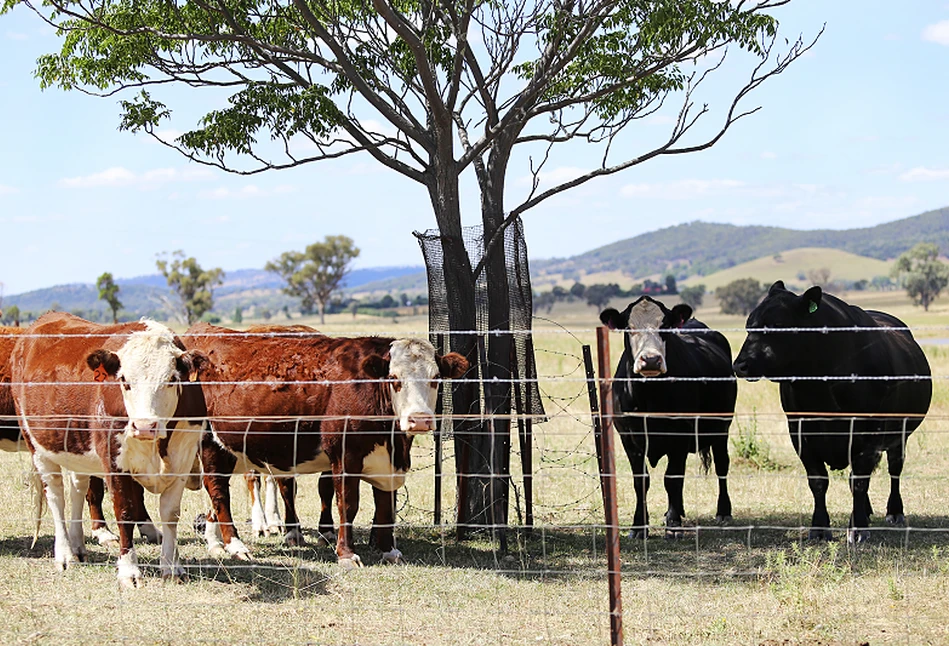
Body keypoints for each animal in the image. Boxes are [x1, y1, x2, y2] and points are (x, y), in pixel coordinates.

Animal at [12, 312, 207, 588]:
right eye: (124, 380)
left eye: (171, 379)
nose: (144, 426)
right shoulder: (115, 463)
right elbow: (125, 510)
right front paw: (129, 570)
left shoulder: (183, 458)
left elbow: (170, 513)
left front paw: (172, 567)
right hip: (37, 447)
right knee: (56, 496)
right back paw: (65, 554)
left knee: (78, 488)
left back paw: (78, 546)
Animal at [184, 324, 466, 568]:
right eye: (393, 378)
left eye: (436, 378)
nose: (420, 419)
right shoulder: (345, 455)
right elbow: (348, 504)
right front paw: (346, 554)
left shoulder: (387, 461)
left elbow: (385, 504)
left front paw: (389, 550)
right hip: (210, 443)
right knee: (219, 492)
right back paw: (236, 545)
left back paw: (216, 543)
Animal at [600, 296, 740, 540]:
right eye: (629, 327)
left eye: (664, 326)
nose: (650, 360)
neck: (649, 396)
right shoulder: (629, 438)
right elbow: (641, 481)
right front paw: (639, 525)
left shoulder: (680, 435)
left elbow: (672, 479)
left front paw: (673, 525)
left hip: (721, 427)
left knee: (722, 465)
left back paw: (723, 511)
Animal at [728, 280, 928, 544]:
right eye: (749, 325)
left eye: (778, 325)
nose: (740, 365)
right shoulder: (800, 431)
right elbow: (818, 481)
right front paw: (820, 528)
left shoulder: (867, 432)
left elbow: (859, 481)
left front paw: (858, 529)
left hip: (900, 434)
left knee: (894, 469)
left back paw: (894, 512)